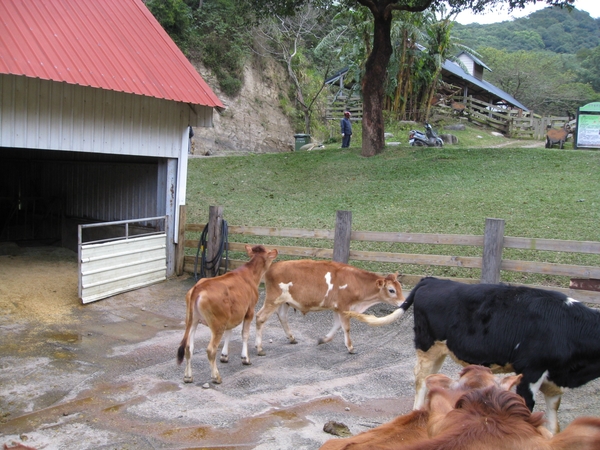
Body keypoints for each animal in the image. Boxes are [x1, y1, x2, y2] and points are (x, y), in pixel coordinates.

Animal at [177, 244, 278, 384]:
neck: (251, 274)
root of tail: (199, 287)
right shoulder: (249, 311)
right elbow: (245, 334)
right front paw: (245, 358)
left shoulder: (231, 316)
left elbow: (229, 333)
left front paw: (224, 356)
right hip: (218, 323)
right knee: (211, 349)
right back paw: (216, 377)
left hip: (192, 320)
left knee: (188, 347)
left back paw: (188, 376)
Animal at [253, 260, 404, 356]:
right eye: (391, 290)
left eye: (400, 288)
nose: (404, 302)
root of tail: (273, 266)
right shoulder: (344, 306)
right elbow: (346, 327)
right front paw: (351, 347)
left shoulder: (338, 308)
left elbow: (337, 326)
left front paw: (323, 339)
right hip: (273, 299)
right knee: (260, 317)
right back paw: (259, 348)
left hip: (284, 302)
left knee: (282, 316)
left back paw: (291, 338)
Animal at [346, 276, 600, 434]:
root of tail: (433, 280)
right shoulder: (530, 372)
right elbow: (527, 411)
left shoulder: (554, 381)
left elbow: (553, 425)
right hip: (427, 345)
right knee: (421, 379)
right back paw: (417, 412)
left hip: (440, 350)